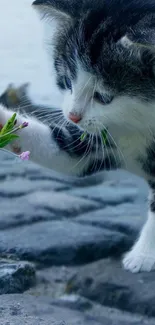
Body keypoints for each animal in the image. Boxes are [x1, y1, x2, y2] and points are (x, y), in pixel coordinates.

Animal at [1, 0, 155, 274]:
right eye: (66, 82)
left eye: (103, 97)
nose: (72, 116)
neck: (141, 122)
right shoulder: (101, 138)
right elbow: (65, 153)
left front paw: (143, 255)